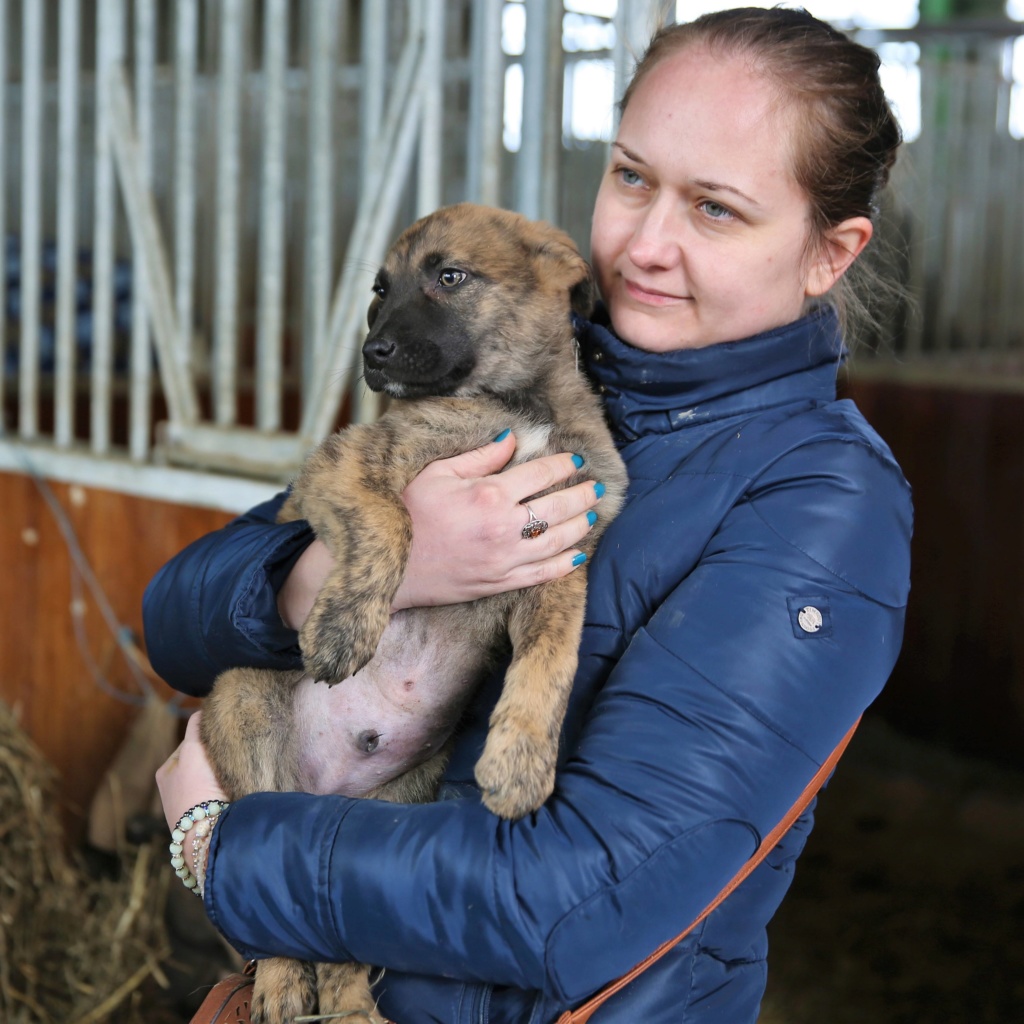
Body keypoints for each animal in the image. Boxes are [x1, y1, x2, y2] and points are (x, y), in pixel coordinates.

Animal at [199, 203, 626, 1024]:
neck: (518, 405)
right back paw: (279, 985)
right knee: (252, 858)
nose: (373, 353)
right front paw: (343, 629)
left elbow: (551, 660)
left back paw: (352, 1007)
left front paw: (520, 762)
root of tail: (320, 793)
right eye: (378, 288)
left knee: (331, 924)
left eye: (449, 276)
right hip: (242, 704)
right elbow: (389, 523)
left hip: (393, 802)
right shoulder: (349, 462)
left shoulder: (563, 559)